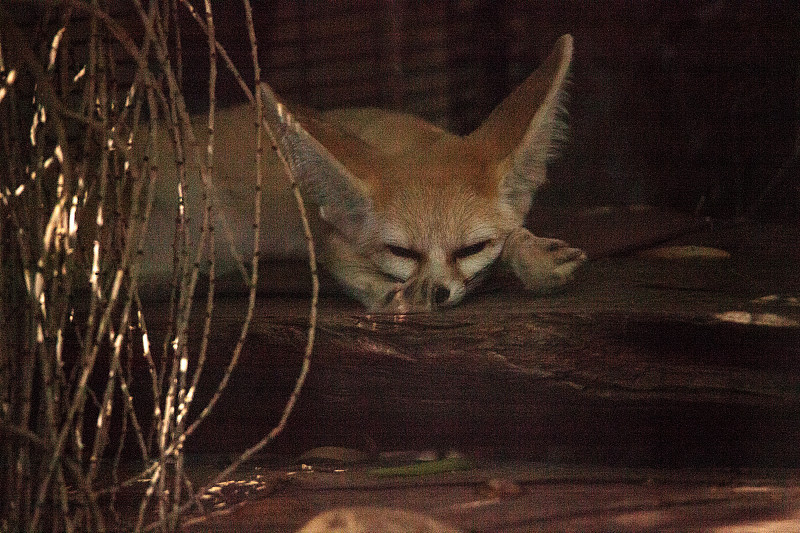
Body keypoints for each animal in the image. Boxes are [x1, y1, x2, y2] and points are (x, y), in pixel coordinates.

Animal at [141, 33, 584, 312]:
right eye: (402, 252)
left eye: (470, 249)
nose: (438, 293)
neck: (398, 135)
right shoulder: (330, 240)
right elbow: (358, 277)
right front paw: (398, 297)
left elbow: (511, 240)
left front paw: (533, 255)